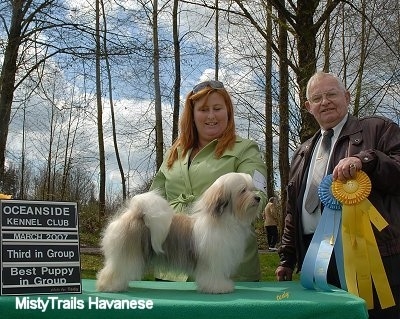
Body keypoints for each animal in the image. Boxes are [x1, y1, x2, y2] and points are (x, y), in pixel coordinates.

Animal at [95, 172, 260, 296]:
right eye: (243, 190)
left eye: (253, 189)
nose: (258, 198)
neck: (224, 220)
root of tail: (136, 213)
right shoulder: (214, 261)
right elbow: (214, 275)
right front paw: (219, 287)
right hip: (127, 253)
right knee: (114, 270)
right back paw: (109, 286)